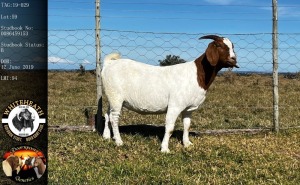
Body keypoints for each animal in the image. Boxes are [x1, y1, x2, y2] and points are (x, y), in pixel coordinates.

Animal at [102, 34, 238, 152]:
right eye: (219, 45)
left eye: (232, 46)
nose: (233, 59)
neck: (197, 74)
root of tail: (109, 63)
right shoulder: (175, 105)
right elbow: (170, 128)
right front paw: (165, 149)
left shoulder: (188, 109)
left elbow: (187, 125)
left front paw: (187, 144)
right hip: (116, 97)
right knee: (114, 118)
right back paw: (119, 141)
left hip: (112, 98)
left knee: (108, 114)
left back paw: (106, 137)